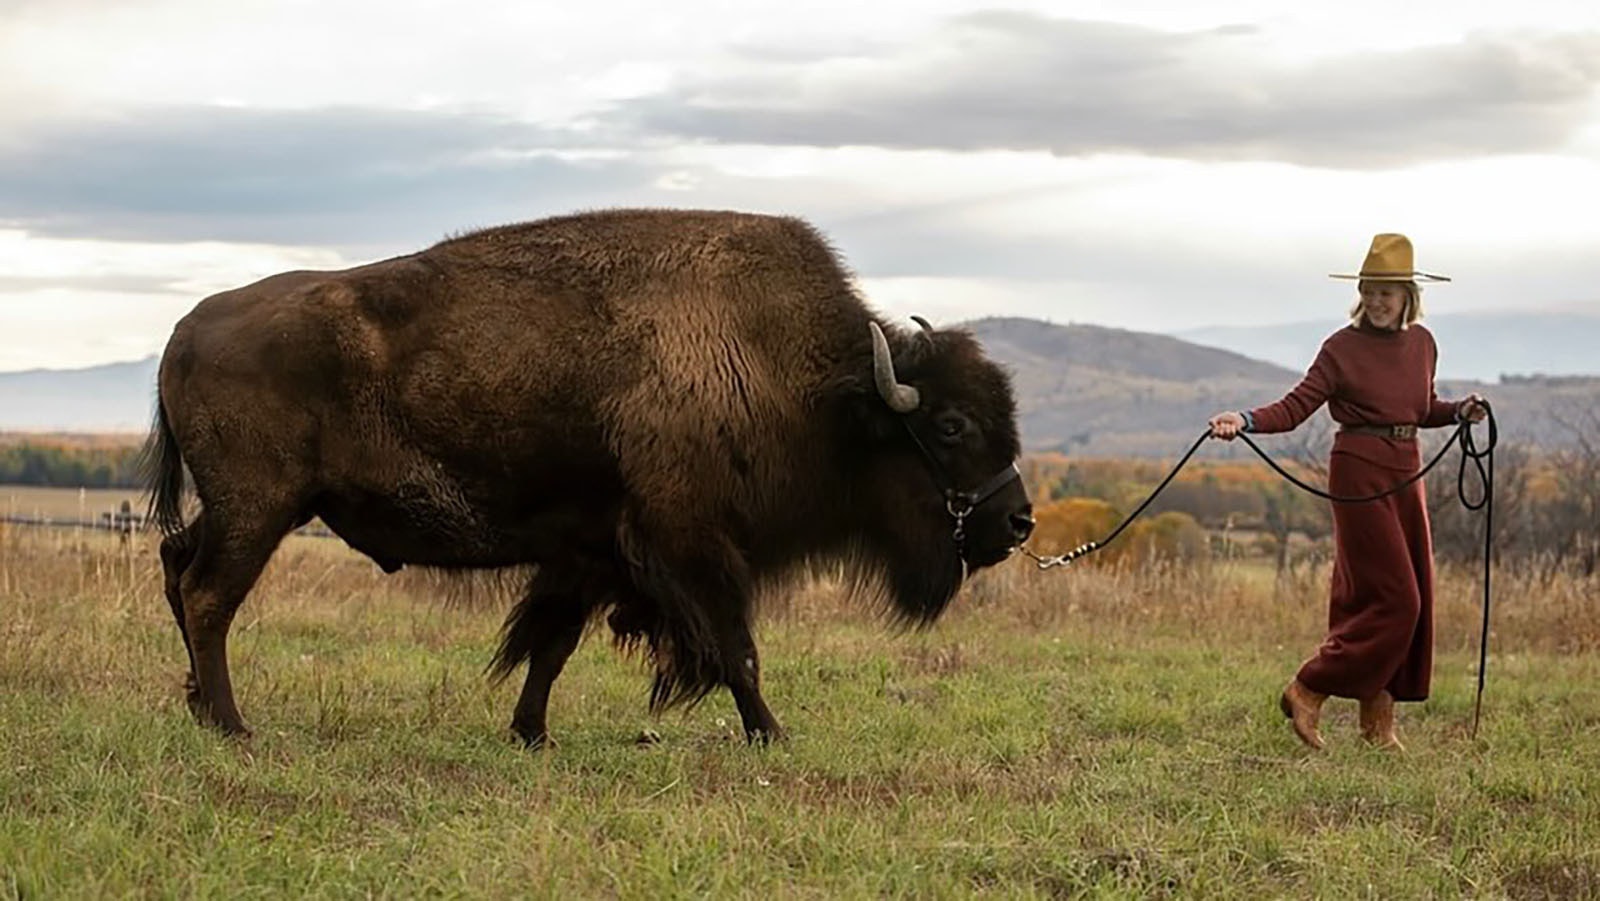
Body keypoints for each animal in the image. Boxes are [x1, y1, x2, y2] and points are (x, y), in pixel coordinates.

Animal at [143, 208, 1034, 745]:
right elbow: (736, 648)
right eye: (951, 425)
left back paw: (199, 708)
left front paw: (530, 733)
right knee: (209, 595)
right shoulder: (693, 546)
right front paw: (772, 733)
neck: (817, 384)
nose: (1019, 521)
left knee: (177, 565)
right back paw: (233, 724)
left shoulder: (590, 550)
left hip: (246, 507)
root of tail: (185, 328)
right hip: (259, 507)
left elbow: (551, 644)